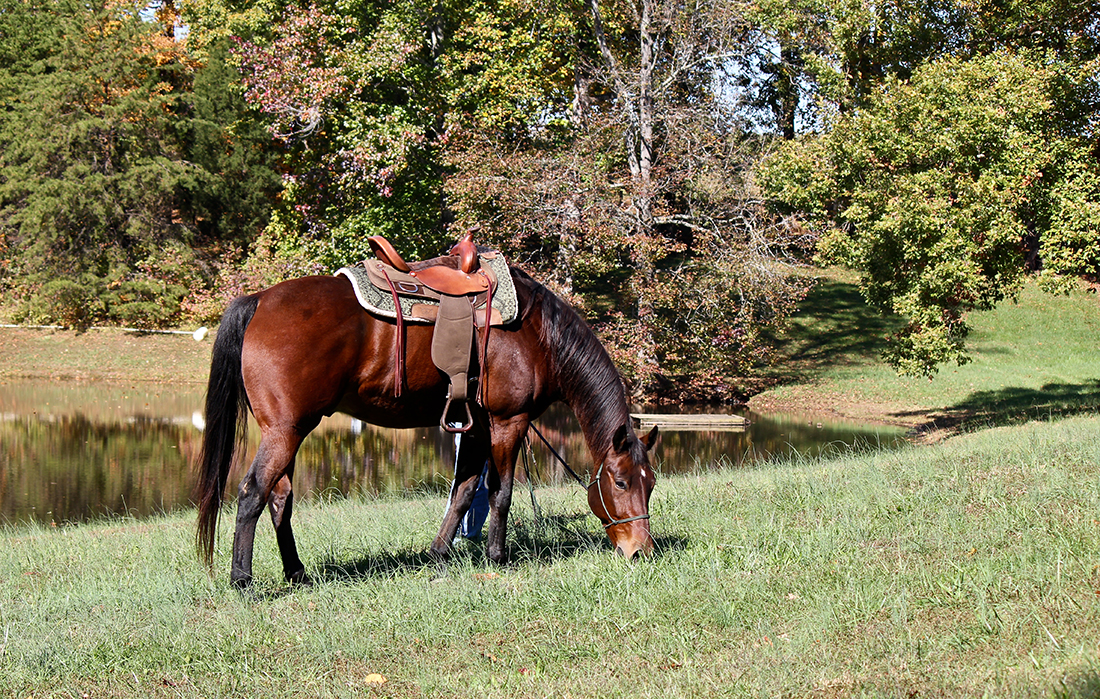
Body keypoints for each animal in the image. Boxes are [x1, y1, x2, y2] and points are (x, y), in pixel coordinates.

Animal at [194, 265, 658, 588]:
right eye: (619, 482)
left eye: (650, 483)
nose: (640, 551)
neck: (538, 334)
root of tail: (259, 300)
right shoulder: (508, 421)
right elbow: (501, 492)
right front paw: (498, 557)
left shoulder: (475, 425)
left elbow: (464, 491)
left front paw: (437, 554)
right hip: (284, 432)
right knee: (252, 492)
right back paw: (242, 580)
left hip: (289, 431)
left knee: (280, 498)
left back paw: (296, 572)